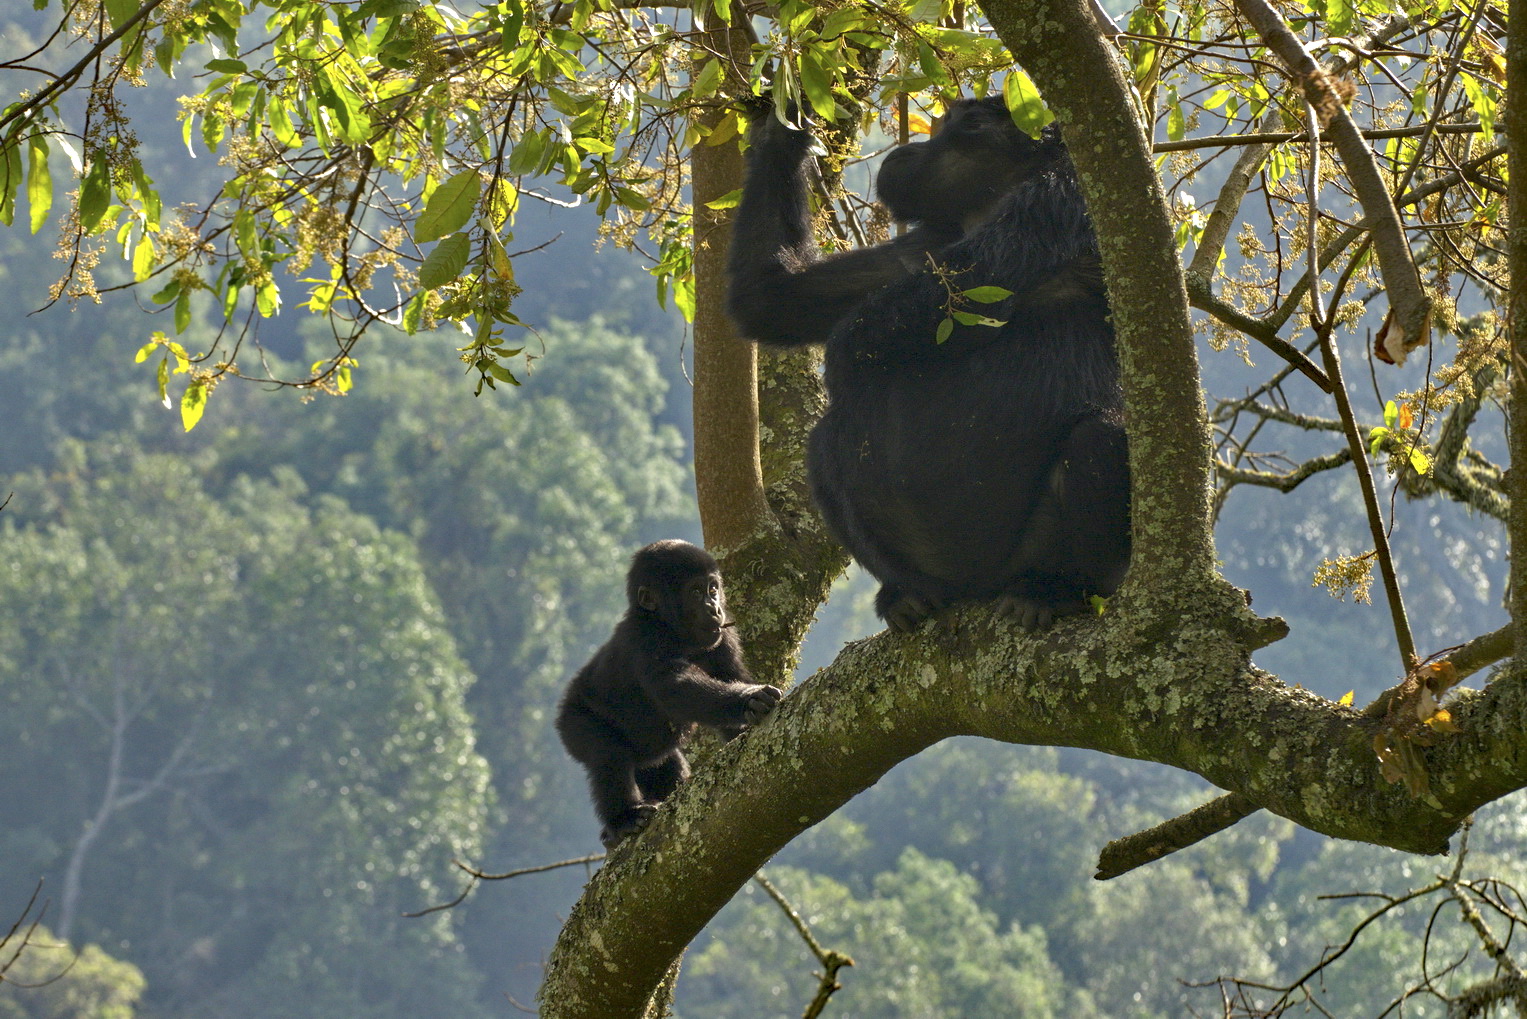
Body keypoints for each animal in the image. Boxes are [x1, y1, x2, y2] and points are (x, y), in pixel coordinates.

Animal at [555, 540, 781, 843]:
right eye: (695, 592)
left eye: (712, 588)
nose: (714, 609)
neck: (662, 623)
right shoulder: (645, 640)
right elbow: (676, 688)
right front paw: (749, 699)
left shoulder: (724, 637)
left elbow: (729, 678)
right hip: (573, 719)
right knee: (606, 752)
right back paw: (623, 819)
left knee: (660, 764)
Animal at [726, 99, 1136, 632]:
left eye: (958, 122)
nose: (913, 148)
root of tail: (976, 589)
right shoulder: (915, 247)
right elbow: (775, 296)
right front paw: (782, 123)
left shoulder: (1058, 200)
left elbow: (969, 290)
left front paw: (844, 355)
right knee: (824, 445)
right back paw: (905, 594)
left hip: (1036, 557)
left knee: (1101, 437)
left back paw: (1053, 589)